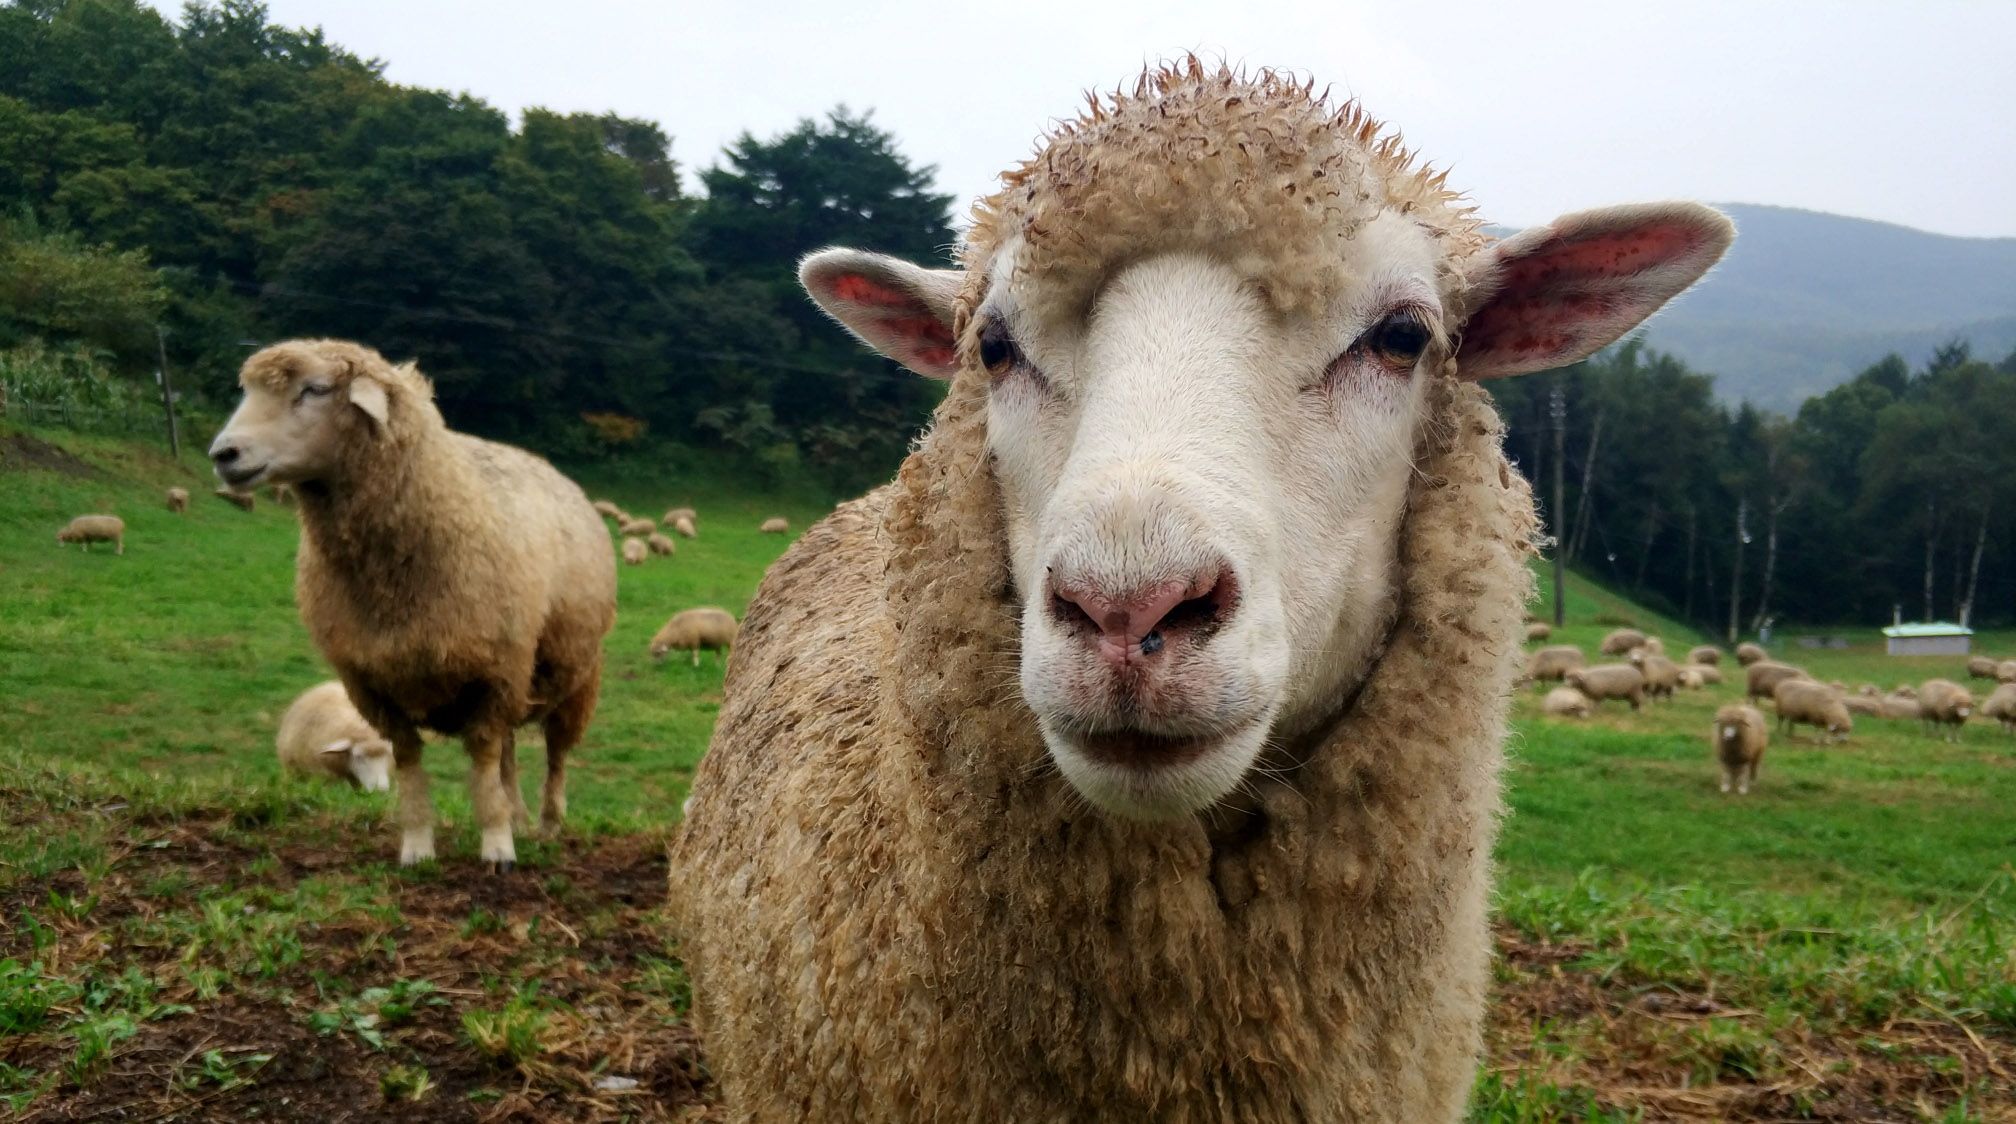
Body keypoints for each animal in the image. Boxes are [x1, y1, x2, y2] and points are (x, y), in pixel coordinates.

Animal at [205, 338, 616, 878]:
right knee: (510, 752)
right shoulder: (374, 683)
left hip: (571, 675)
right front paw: (419, 845)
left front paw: (497, 845)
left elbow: (483, 761)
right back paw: (519, 815)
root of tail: (541, 462)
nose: (223, 454)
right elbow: (411, 764)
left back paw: (547, 822)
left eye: (314, 389)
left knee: (555, 754)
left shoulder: (492, 670)